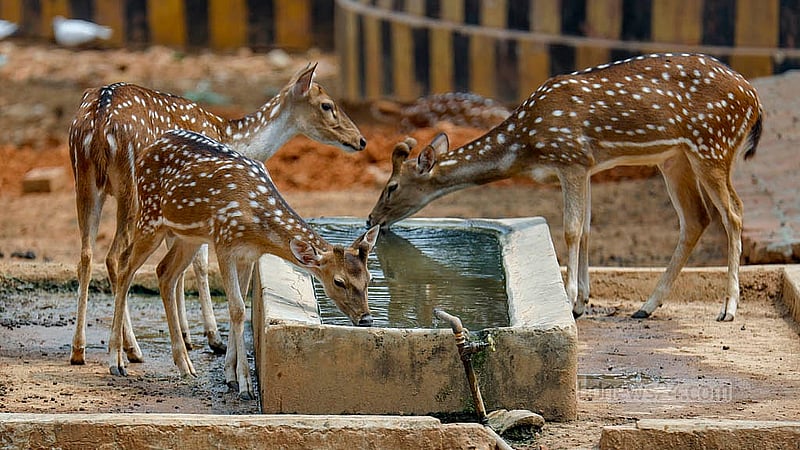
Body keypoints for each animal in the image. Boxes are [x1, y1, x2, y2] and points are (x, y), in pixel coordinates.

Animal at [68, 63, 366, 367]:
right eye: (327, 105)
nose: (361, 140)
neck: (235, 138)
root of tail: (99, 122)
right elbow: (199, 264)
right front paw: (213, 339)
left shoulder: (182, 211)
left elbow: (180, 270)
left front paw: (188, 337)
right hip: (131, 190)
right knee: (115, 257)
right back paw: (130, 350)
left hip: (86, 181)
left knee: (86, 255)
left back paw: (79, 349)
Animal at [109, 129, 379, 399]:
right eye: (338, 281)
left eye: (369, 278)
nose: (366, 319)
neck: (257, 228)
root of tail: (150, 147)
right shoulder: (224, 242)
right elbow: (238, 308)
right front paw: (245, 385)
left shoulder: (249, 254)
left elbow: (237, 308)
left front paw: (230, 376)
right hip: (150, 216)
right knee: (125, 264)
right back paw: (117, 361)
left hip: (189, 236)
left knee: (164, 272)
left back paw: (185, 365)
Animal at [367, 53, 763, 322]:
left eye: (392, 186)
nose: (371, 219)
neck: (525, 146)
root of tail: (755, 101)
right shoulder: (586, 166)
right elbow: (586, 229)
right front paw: (582, 302)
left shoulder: (570, 158)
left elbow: (571, 229)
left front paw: (572, 300)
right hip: (674, 158)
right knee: (697, 218)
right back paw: (646, 307)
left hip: (711, 145)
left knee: (733, 212)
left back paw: (728, 308)